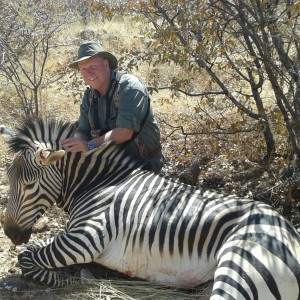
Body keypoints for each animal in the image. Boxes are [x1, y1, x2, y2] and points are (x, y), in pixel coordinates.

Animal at [0, 116, 300, 298]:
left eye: (29, 185)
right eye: (9, 180)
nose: (11, 234)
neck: (98, 182)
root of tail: (290, 233)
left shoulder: (86, 237)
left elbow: (26, 258)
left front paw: (68, 280)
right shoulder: (72, 234)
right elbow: (29, 251)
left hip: (239, 264)